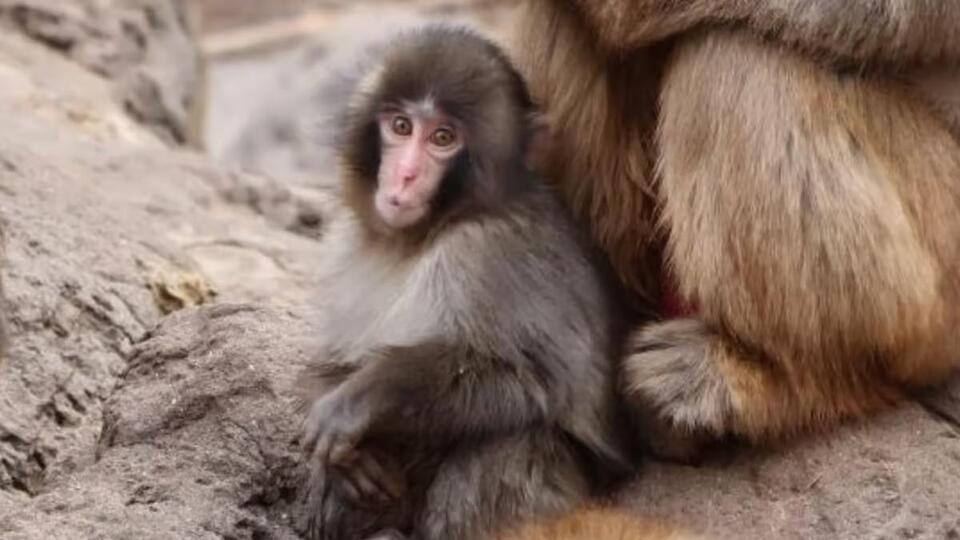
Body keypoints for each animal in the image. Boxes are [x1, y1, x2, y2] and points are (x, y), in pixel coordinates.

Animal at [295, 25, 637, 540]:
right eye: (401, 127)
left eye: (443, 138)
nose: (405, 175)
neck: (422, 235)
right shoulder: (346, 244)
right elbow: (333, 361)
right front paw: (344, 440)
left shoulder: (488, 252)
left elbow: (529, 376)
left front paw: (364, 397)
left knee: (511, 441)